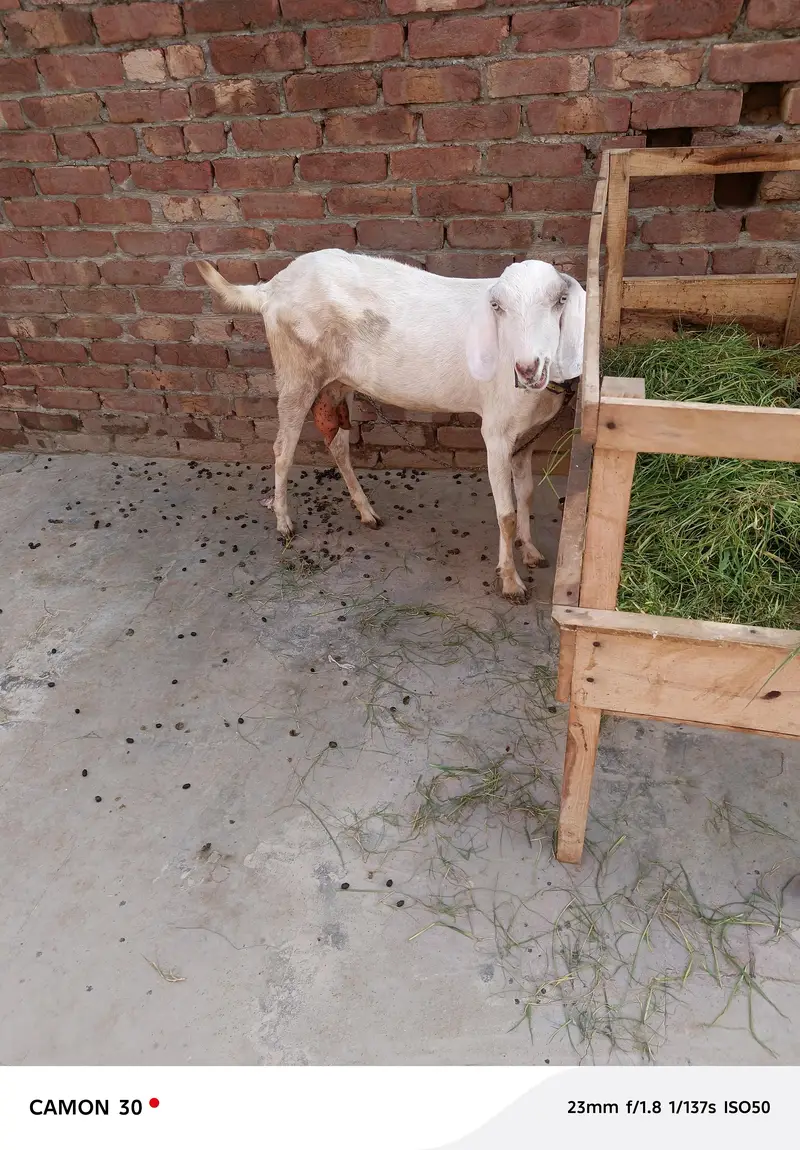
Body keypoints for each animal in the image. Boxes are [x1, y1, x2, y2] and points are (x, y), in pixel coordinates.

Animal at [196, 251, 585, 602]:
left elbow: (527, 494)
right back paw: (283, 522)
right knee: (282, 449)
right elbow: (505, 513)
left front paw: (530, 551)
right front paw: (511, 583)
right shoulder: (497, 431)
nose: (527, 368)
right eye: (498, 307)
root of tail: (270, 288)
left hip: (338, 383)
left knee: (337, 444)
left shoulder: (526, 435)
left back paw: (366, 512)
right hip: (296, 373)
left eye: (560, 300)